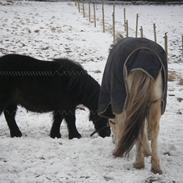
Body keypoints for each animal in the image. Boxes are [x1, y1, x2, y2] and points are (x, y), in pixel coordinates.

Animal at [98, 37, 167, 174]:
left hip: (129, 100)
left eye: (111, 123)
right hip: (156, 101)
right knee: (153, 129)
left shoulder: (120, 105)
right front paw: (147, 152)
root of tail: (145, 54)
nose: (113, 140)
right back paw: (155, 166)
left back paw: (138, 162)